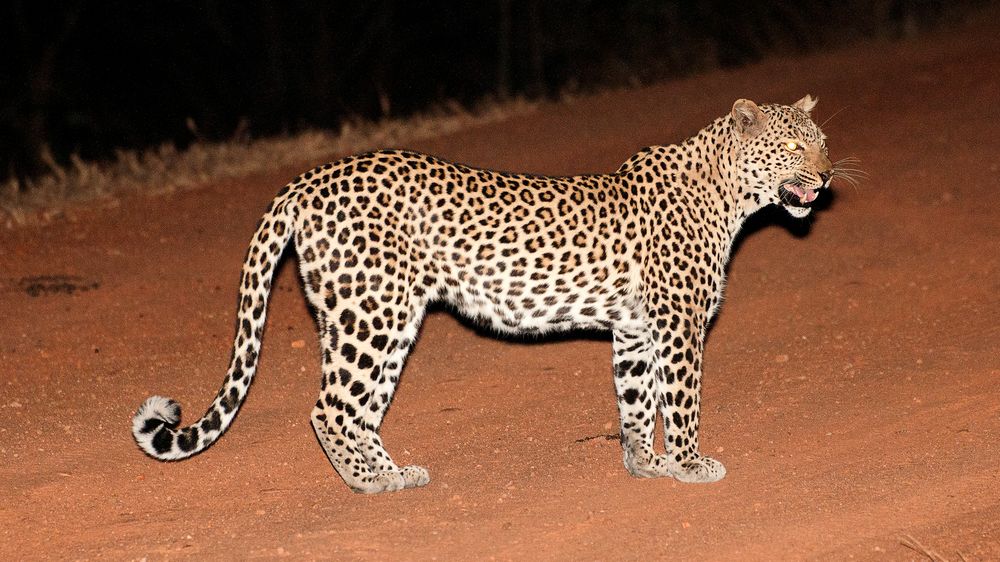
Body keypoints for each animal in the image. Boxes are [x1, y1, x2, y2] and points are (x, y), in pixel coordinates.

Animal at [133, 95, 836, 490]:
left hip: (363, 315)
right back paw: (368, 485)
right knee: (330, 409)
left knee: (357, 408)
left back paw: (391, 474)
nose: (828, 176)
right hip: (376, 314)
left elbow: (637, 402)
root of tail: (309, 178)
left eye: (824, 142)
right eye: (793, 145)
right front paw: (690, 465)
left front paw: (648, 466)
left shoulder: (636, 329)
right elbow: (682, 401)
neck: (731, 194)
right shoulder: (678, 326)